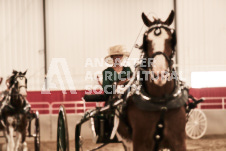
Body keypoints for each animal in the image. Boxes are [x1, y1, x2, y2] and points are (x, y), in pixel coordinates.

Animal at [115, 10, 187, 151]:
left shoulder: (179, 141)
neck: (160, 102)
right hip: (126, 141)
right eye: (146, 41)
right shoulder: (140, 143)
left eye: (171, 40)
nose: (159, 74)